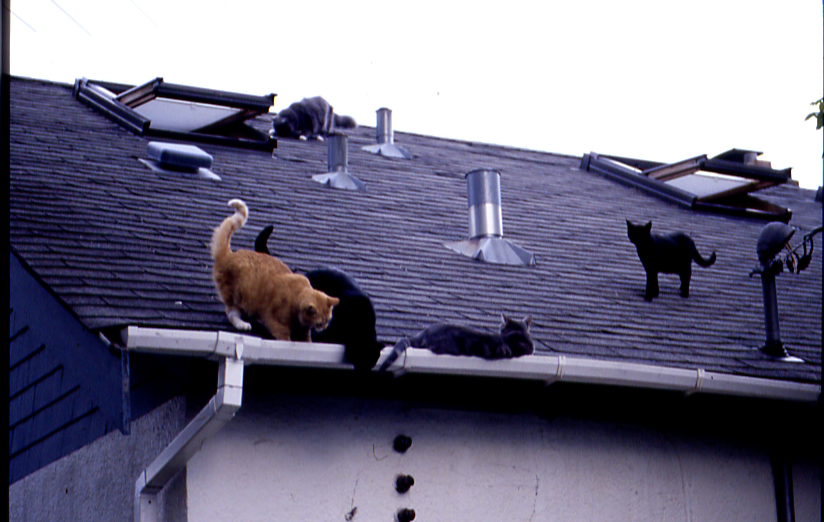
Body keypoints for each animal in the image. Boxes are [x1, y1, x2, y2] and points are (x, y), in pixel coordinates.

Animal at [214, 197, 342, 340]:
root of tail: (228, 254)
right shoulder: (277, 324)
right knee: (231, 312)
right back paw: (242, 323)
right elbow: (284, 337)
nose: (324, 328)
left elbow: (307, 339)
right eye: (320, 323)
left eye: (328, 321)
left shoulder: (304, 330)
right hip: (236, 296)